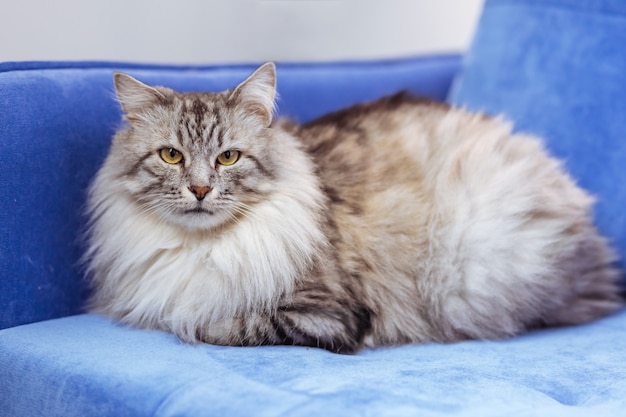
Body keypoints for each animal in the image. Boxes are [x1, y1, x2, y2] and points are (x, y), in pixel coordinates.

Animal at [83, 62, 620, 354]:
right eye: (171, 156)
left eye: (228, 157)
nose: (199, 190)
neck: (204, 247)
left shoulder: (330, 313)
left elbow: (219, 322)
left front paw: (192, 322)